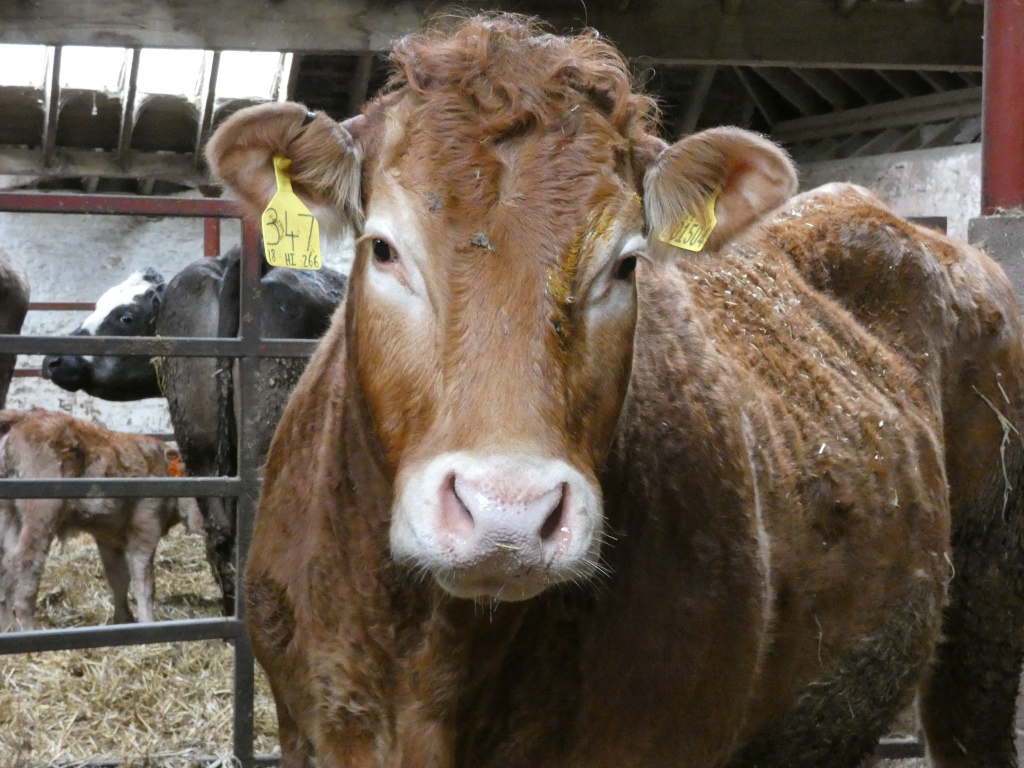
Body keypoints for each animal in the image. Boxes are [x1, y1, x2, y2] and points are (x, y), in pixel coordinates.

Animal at [0, 409, 190, 631]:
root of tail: (24, 416)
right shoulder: (146, 525)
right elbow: (144, 580)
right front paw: (147, 623)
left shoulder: (108, 537)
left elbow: (119, 577)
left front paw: (124, 619)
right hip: (41, 513)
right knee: (26, 562)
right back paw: (28, 628)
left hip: (10, 515)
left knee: (6, 563)